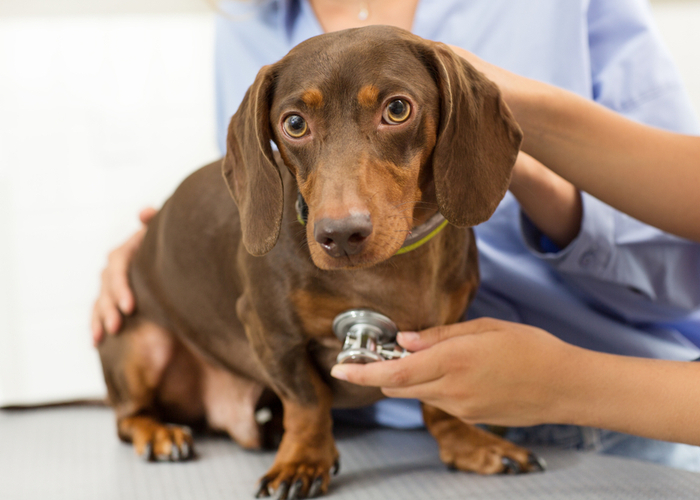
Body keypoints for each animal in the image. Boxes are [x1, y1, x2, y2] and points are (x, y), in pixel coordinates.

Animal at [100, 25, 540, 498]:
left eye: (397, 109)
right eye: (294, 123)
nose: (341, 236)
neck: (383, 271)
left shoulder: (444, 331)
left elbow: (439, 401)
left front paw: (469, 444)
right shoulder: (270, 330)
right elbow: (308, 401)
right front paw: (302, 461)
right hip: (137, 342)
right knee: (127, 417)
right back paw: (160, 433)